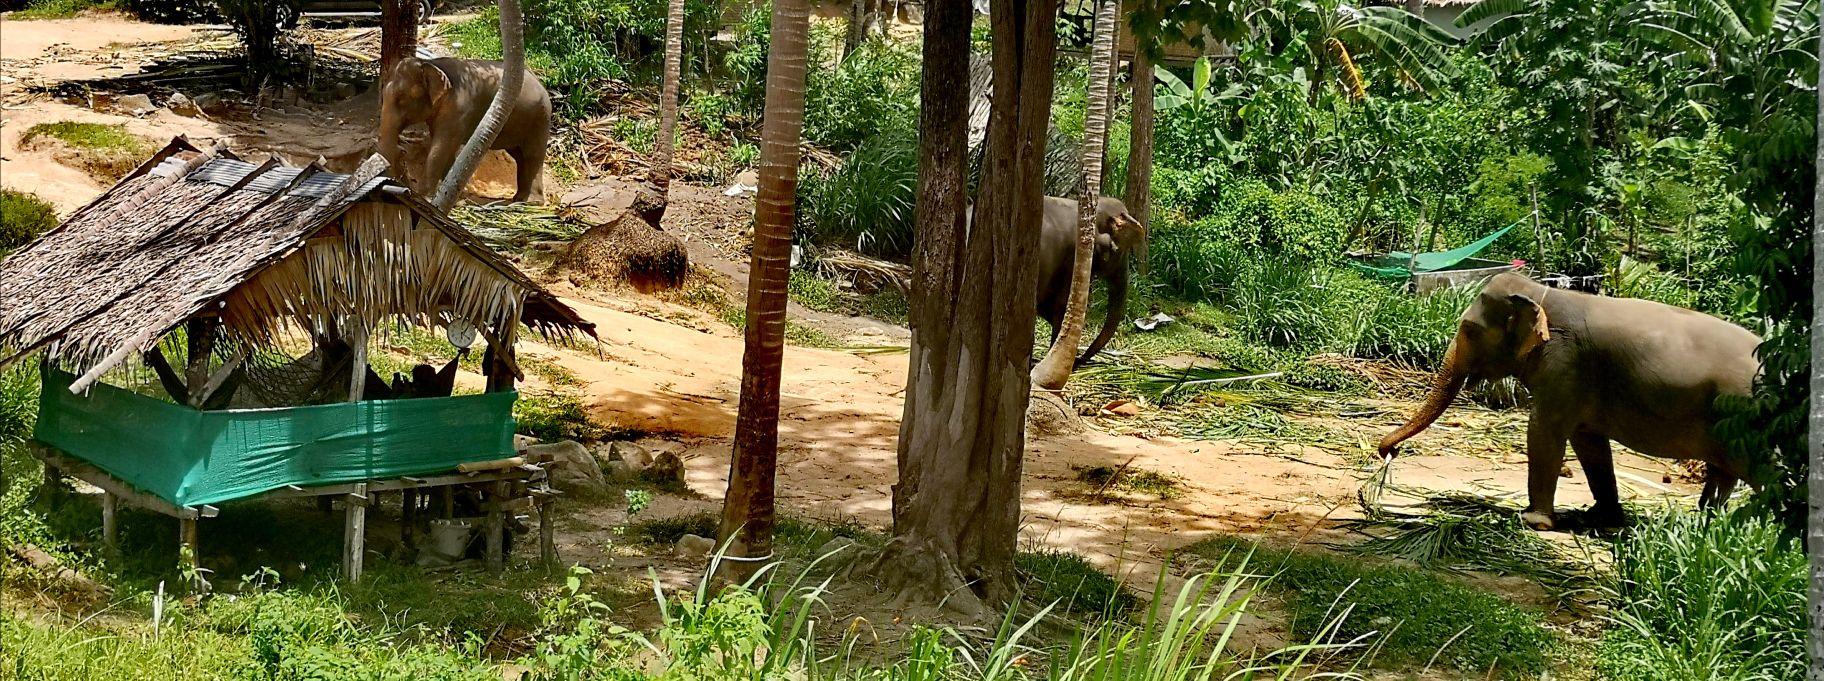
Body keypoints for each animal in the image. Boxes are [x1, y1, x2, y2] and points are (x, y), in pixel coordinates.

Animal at [377, 56, 551, 203]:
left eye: (401, 99)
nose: (402, 151)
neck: (431, 63)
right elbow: (445, 150)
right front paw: (454, 197)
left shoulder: (459, 108)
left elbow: (441, 149)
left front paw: (424, 197)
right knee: (519, 156)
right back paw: (519, 199)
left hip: (540, 118)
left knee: (532, 156)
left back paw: (529, 203)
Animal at [1376, 272, 1763, 531]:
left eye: (1469, 330)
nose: (1387, 452)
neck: (1540, 293)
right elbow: (1587, 441)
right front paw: (1601, 518)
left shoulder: (1564, 361)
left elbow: (1544, 430)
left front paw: (1534, 521)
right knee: (1724, 473)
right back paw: (1706, 524)